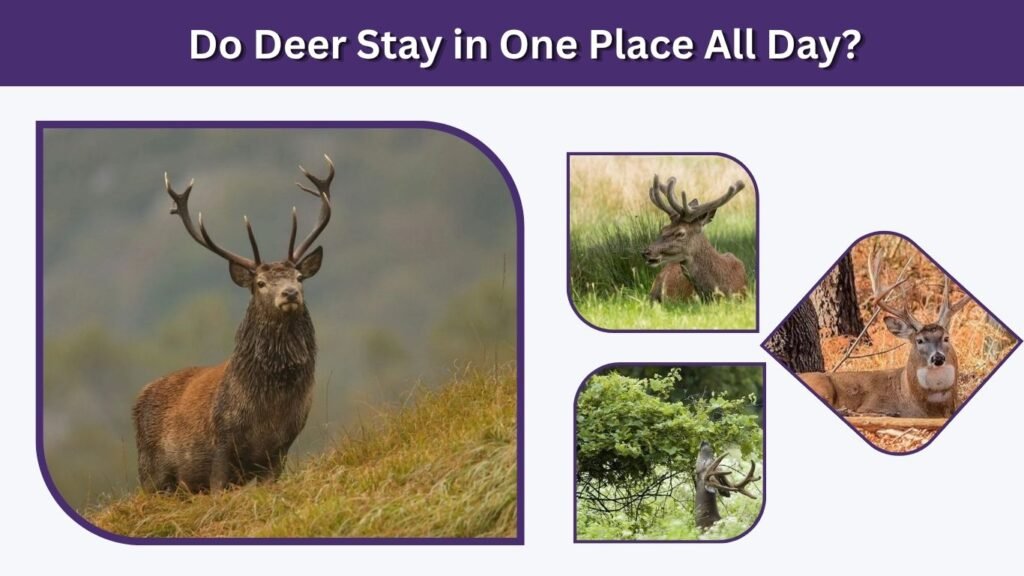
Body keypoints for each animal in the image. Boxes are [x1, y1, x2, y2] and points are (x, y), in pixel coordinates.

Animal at [132, 156, 335, 493]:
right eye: (260, 283)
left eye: (299, 277)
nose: (289, 293)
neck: (269, 411)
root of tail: (139, 396)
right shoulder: (221, 442)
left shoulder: (280, 449)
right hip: (151, 473)